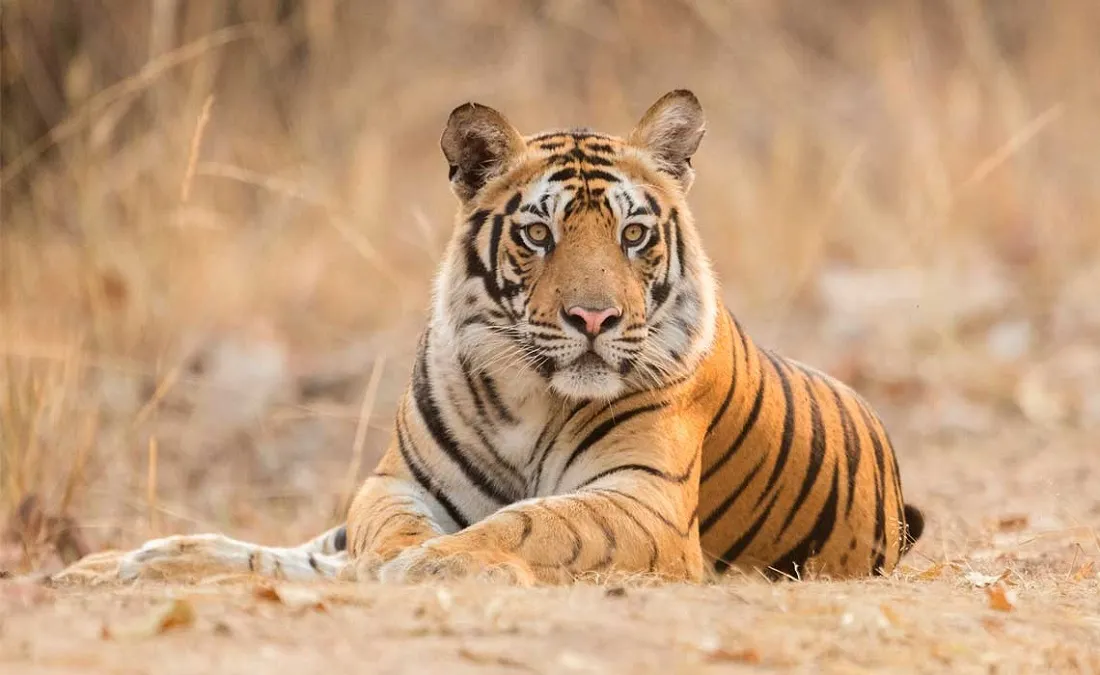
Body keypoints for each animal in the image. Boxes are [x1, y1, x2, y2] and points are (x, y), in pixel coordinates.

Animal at [58, 90, 919, 589]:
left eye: (634, 235)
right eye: (539, 234)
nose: (594, 320)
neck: (529, 397)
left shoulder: (642, 503)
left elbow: (537, 520)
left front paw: (437, 561)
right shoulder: (395, 481)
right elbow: (380, 529)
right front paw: (398, 557)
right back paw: (117, 563)